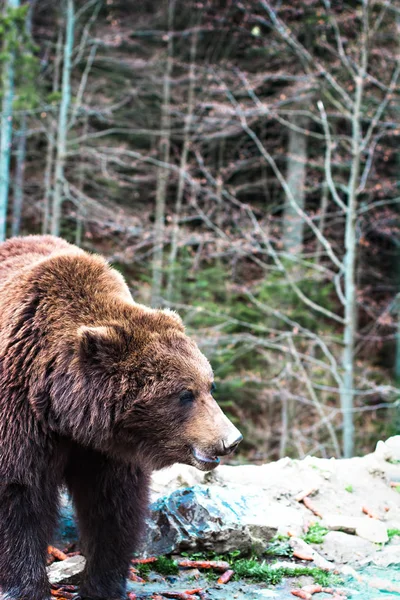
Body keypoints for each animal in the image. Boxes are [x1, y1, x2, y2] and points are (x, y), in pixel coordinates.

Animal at [0, 236, 241, 600]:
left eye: (209, 385)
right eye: (184, 393)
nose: (231, 439)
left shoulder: (108, 449)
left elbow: (113, 507)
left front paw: (103, 585)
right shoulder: (20, 412)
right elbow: (20, 493)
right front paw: (25, 587)